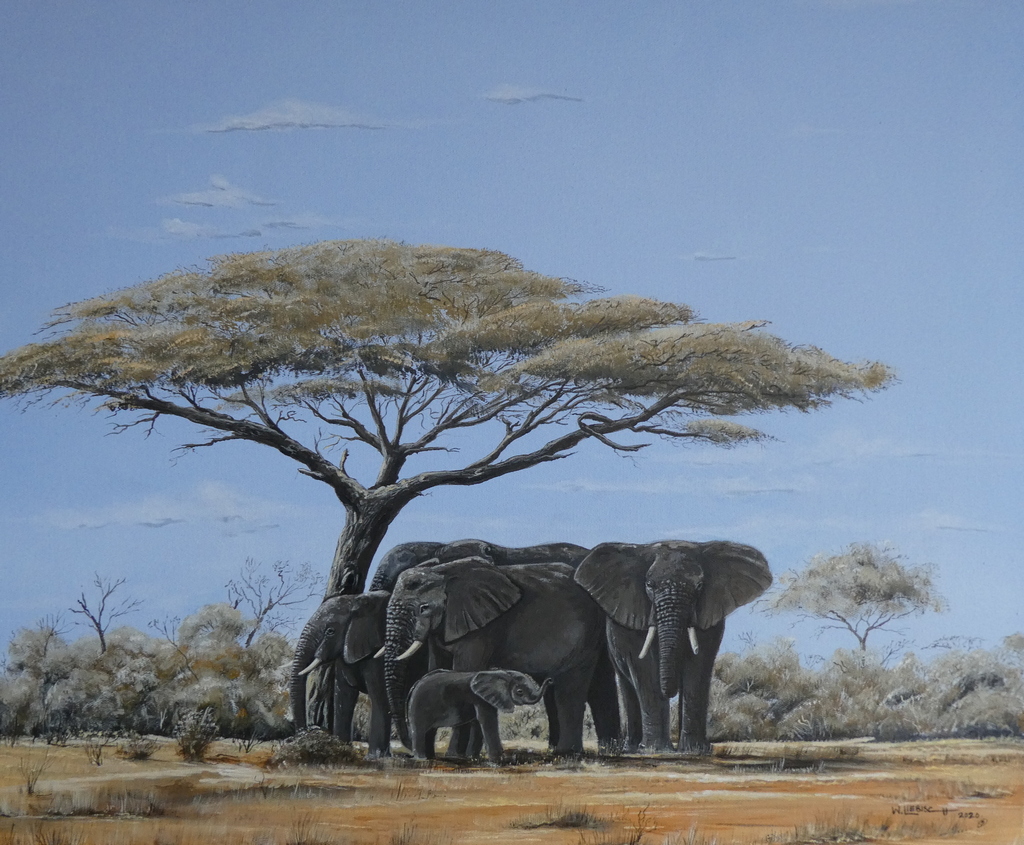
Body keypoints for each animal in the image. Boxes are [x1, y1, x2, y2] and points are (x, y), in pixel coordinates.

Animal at [290, 591, 426, 757]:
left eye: (330, 632)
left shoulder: (378, 655)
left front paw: (375, 757)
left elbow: (379, 697)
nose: (305, 733)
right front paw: (340, 747)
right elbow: (343, 698)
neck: (356, 599)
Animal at [407, 669, 551, 761]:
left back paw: (431, 757)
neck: (501, 673)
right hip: (420, 706)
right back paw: (421, 759)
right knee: (419, 731)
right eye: (519, 691)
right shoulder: (480, 699)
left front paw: (472, 758)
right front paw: (499, 760)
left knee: (430, 732)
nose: (550, 680)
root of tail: (415, 685)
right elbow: (487, 722)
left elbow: (478, 724)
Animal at [574, 540, 772, 754]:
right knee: (628, 686)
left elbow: (698, 666)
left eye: (699, 586)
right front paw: (655, 750)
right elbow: (644, 668)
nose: (670, 692)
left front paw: (695, 750)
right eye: (649, 585)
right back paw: (633, 749)